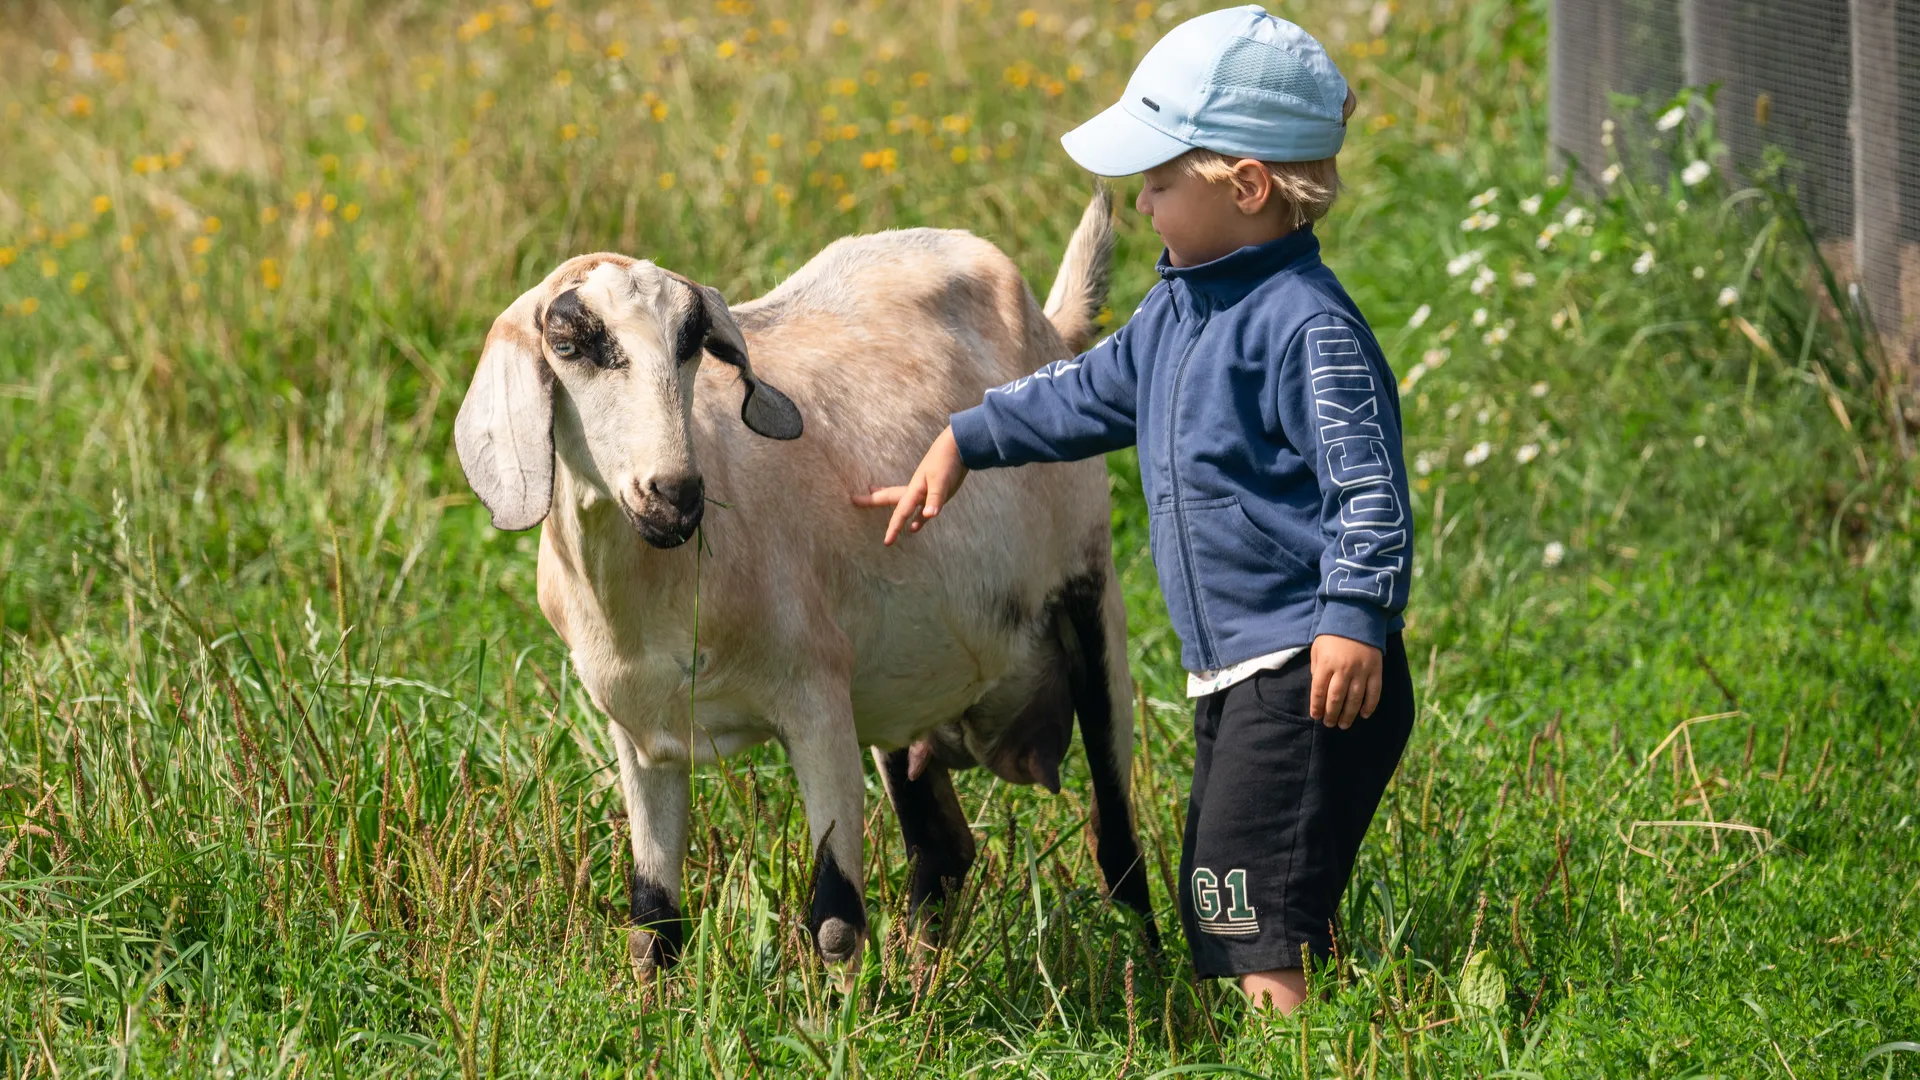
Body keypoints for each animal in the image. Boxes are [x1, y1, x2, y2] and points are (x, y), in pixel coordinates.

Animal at [453, 191, 1152, 968]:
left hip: (1091, 602)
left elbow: (837, 919)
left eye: (692, 341)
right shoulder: (641, 737)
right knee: (943, 852)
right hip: (901, 696)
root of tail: (1052, 327)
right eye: (568, 344)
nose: (674, 496)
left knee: (1118, 846)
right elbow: (654, 923)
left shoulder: (816, 705)